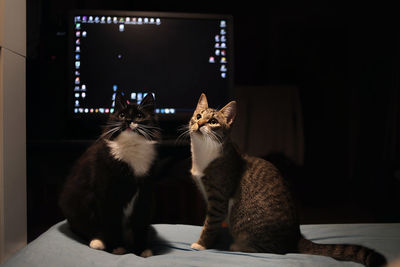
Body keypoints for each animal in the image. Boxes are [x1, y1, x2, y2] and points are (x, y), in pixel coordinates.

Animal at [59, 92, 159, 258]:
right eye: (122, 114)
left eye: (139, 115)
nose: (128, 120)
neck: (131, 148)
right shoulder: (107, 194)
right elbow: (111, 222)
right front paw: (117, 247)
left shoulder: (145, 194)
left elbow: (140, 222)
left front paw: (141, 250)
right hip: (76, 205)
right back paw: (98, 241)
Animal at [189, 93, 386, 266]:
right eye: (198, 115)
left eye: (213, 121)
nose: (199, 123)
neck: (203, 152)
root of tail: (296, 236)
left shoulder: (218, 198)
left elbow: (210, 224)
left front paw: (201, 244)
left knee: (272, 251)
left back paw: (237, 246)